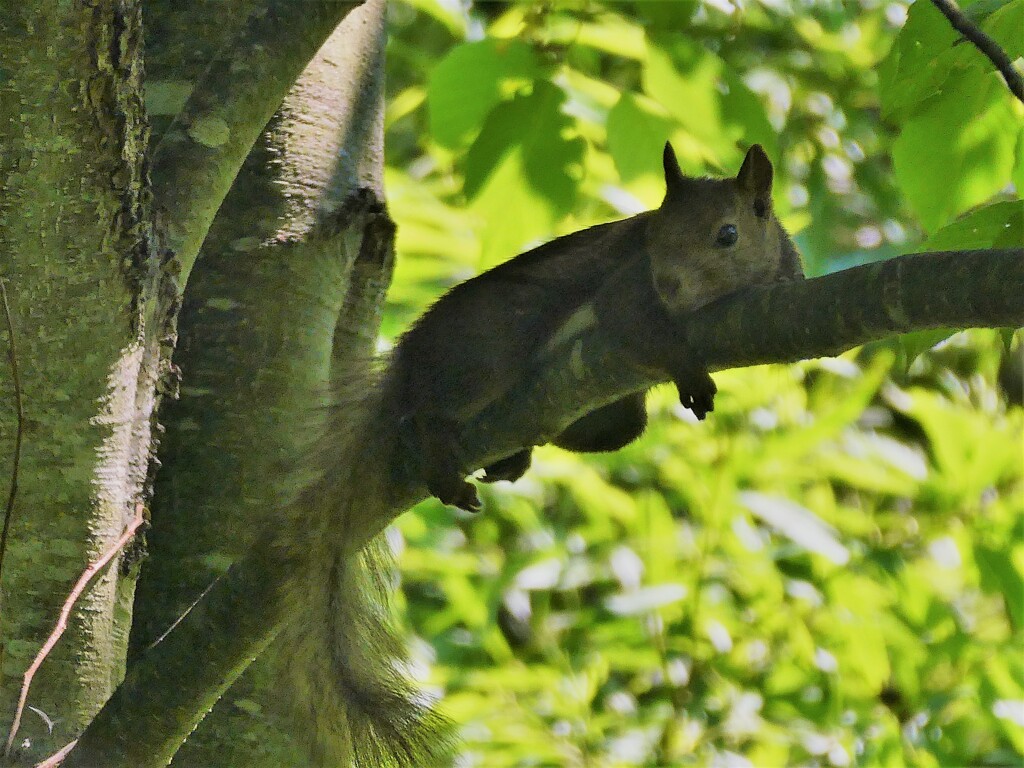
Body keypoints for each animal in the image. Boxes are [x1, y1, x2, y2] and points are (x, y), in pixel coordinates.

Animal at [280, 141, 798, 765]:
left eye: (728, 234)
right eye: (653, 232)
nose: (669, 284)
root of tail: (407, 360)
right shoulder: (627, 288)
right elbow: (642, 325)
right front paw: (690, 371)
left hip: (609, 418)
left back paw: (513, 457)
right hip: (484, 352)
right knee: (425, 409)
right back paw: (439, 447)